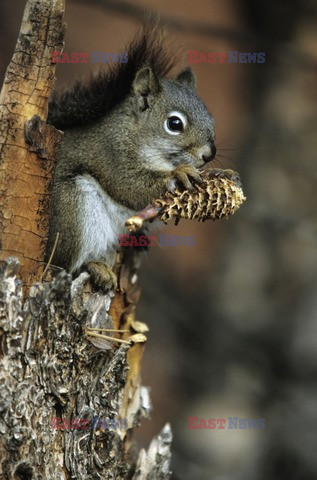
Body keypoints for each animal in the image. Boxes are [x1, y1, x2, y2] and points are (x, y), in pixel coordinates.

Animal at [45, 27, 216, 288]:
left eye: (211, 119)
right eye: (174, 124)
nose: (209, 154)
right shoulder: (112, 153)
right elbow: (129, 186)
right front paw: (179, 174)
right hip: (71, 209)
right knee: (60, 264)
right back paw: (92, 267)